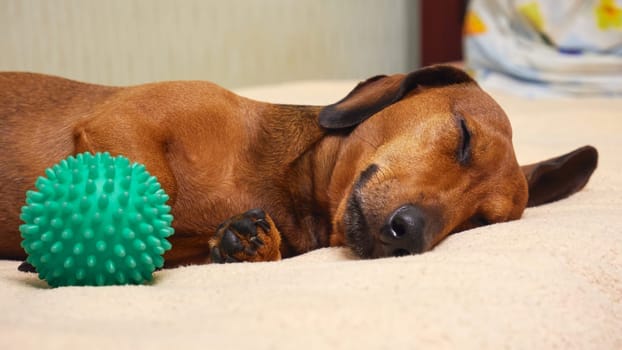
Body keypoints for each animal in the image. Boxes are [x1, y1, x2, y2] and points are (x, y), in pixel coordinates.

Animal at [0, 66, 600, 268]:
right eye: (464, 138)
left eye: (479, 222)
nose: (411, 235)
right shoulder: (120, 123)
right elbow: (155, 200)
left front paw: (247, 243)